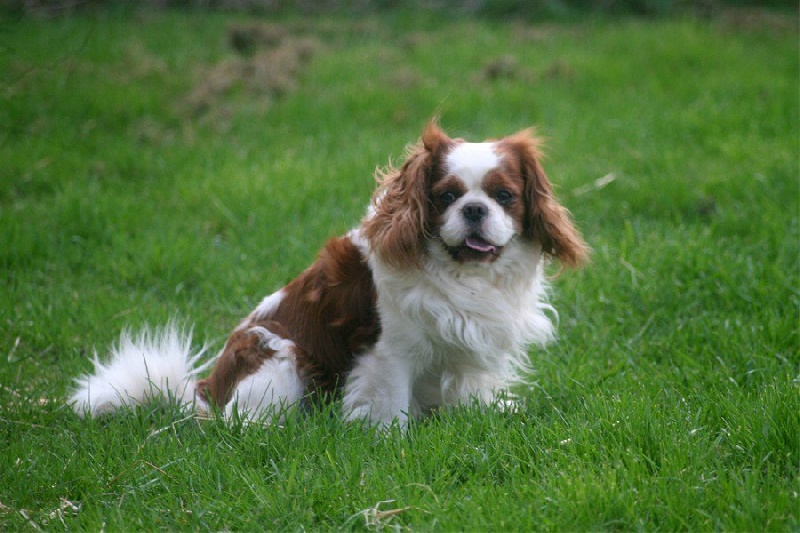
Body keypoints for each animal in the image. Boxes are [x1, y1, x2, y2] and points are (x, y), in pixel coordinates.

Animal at [70, 122, 588, 426]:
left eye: (504, 197)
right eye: (446, 197)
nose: (475, 209)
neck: (465, 274)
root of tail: (204, 390)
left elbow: (468, 388)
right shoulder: (391, 351)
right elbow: (391, 402)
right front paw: (394, 441)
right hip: (282, 354)